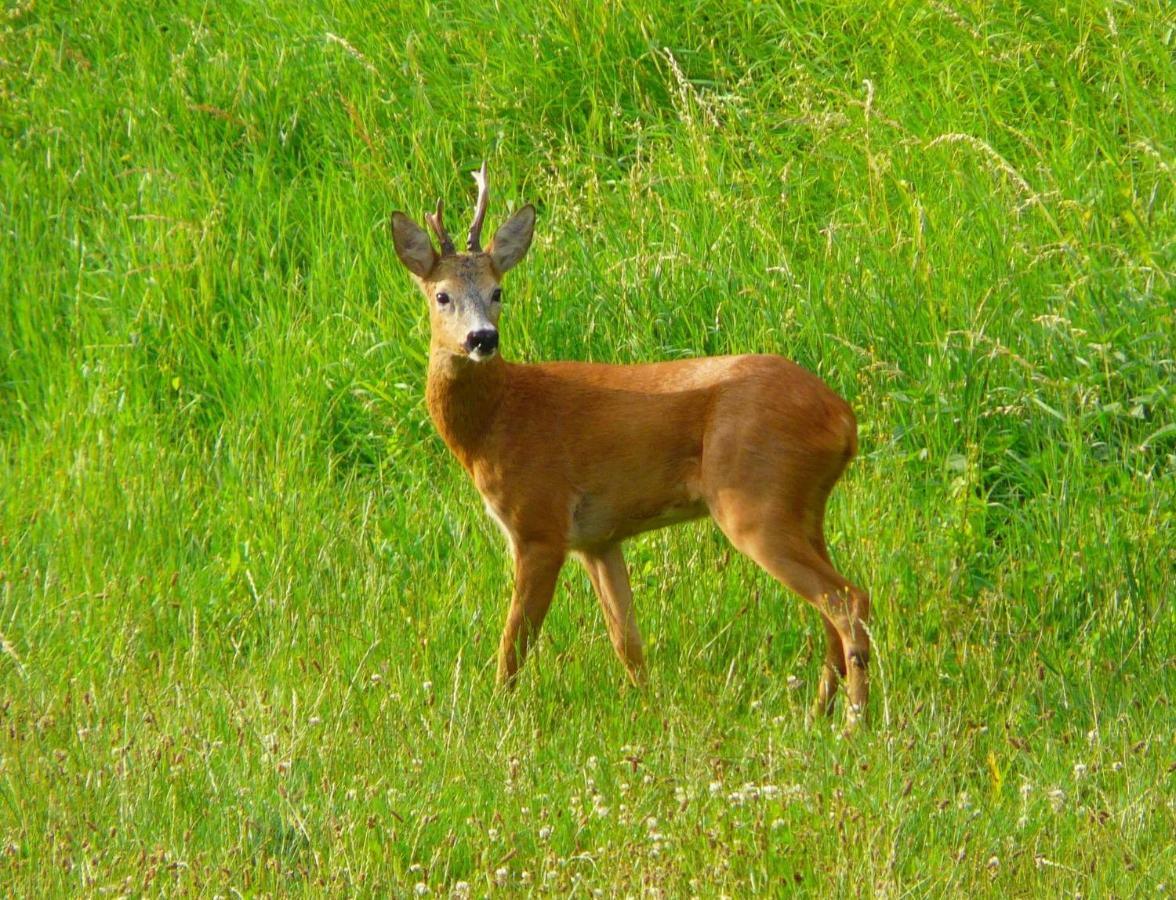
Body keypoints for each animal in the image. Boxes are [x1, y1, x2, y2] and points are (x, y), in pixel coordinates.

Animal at [390, 163, 870, 724]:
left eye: (497, 291)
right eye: (441, 295)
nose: (482, 338)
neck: (498, 420)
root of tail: (843, 419)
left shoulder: (539, 523)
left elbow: (515, 642)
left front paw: (492, 714)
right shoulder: (599, 539)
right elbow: (628, 641)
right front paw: (649, 708)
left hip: (755, 502)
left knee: (847, 601)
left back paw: (854, 721)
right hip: (803, 508)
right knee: (831, 609)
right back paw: (820, 713)